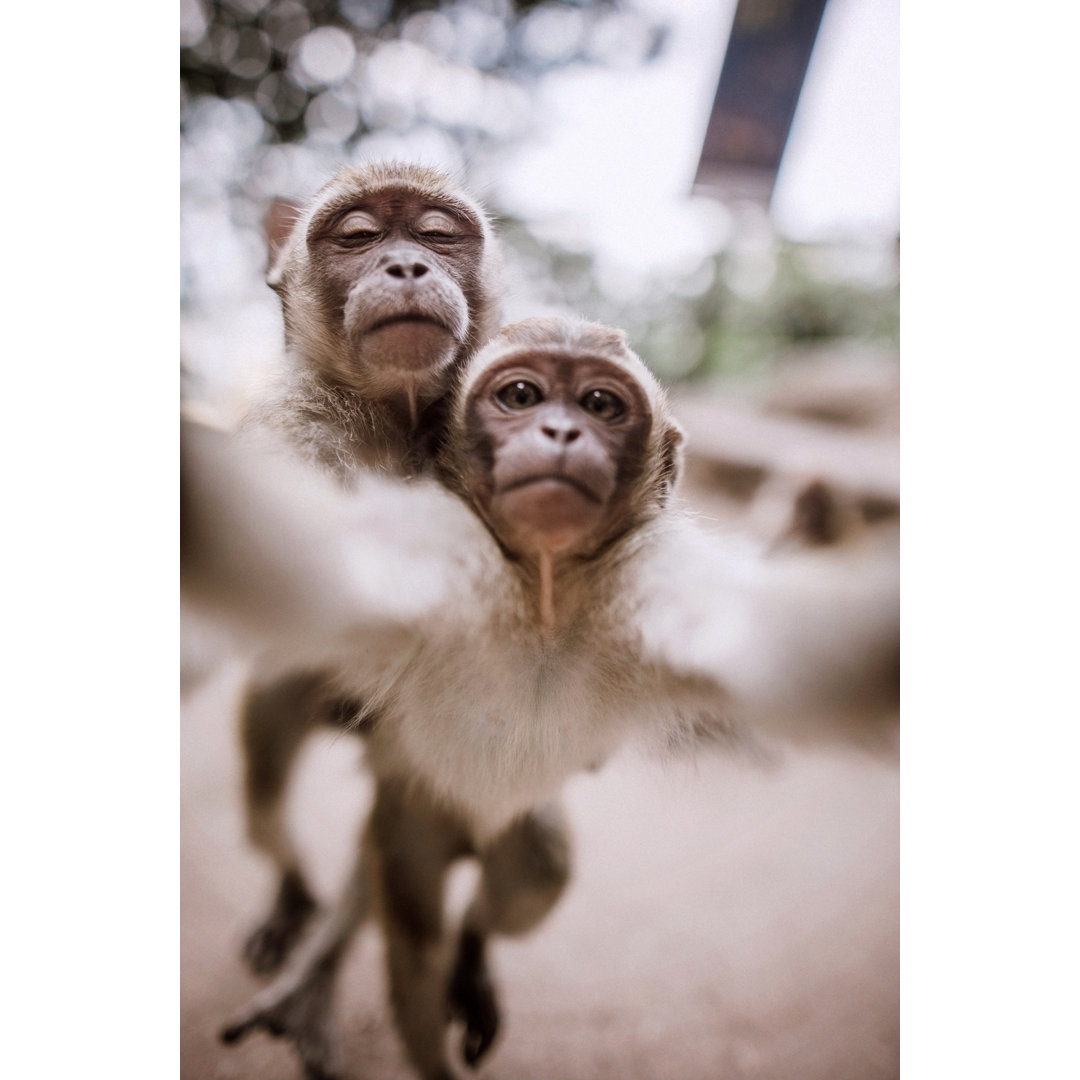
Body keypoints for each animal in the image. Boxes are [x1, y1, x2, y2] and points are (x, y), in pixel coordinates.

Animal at [183, 315, 894, 1080]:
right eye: (521, 396)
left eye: (601, 405)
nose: (560, 432)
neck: (544, 595)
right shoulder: (441, 552)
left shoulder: (654, 580)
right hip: (410, 825)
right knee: (365, 884)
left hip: (500, 833)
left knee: (534, 870)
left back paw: (468, 954)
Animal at [228, 162, 505, 989]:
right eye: (357, 235)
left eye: (438, 233)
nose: (406, 266)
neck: (396, 418)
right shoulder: (286, 437)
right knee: (265, 788)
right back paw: (294, 903)